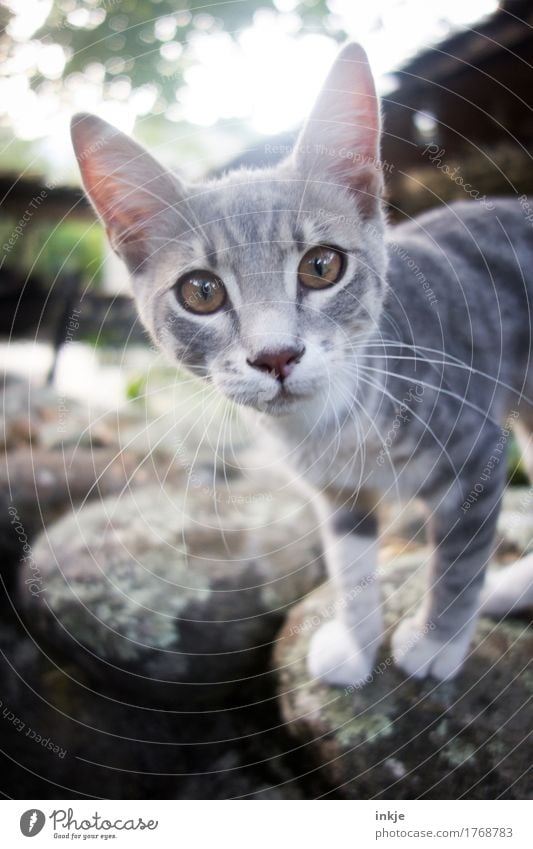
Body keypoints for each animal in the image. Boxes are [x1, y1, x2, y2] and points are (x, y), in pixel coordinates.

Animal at [70, 43, 532, 684]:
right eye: (201, 292)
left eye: (321, 266)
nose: (276, 355)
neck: (337, 422)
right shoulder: (338, 494)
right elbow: (349, 565)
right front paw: (357, 647)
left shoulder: (476, 448)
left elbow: (461, 556)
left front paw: (436, 641)